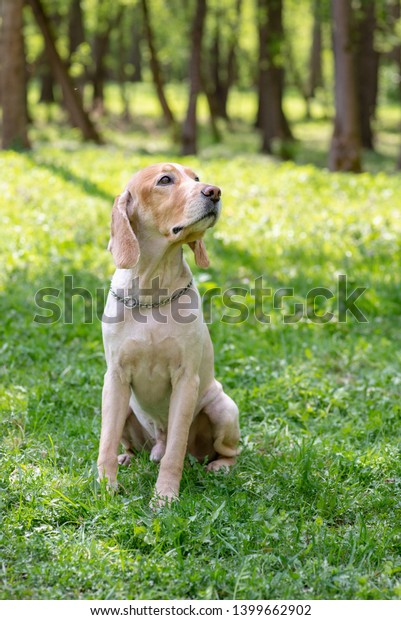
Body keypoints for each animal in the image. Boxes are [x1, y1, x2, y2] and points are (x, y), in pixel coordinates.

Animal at [97, 162, 239, 506]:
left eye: (197, 178)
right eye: (165, 180)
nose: (214, 191)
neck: (152, 291)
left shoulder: (186, 381)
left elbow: (175, 450)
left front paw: (164, 497)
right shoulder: (115, 378)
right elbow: (106, 442)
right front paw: (106, 488)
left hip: (223, 409)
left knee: (225, 451)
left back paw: (219, 466)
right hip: (122, 408)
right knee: (131, 444)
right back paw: (128, 458)